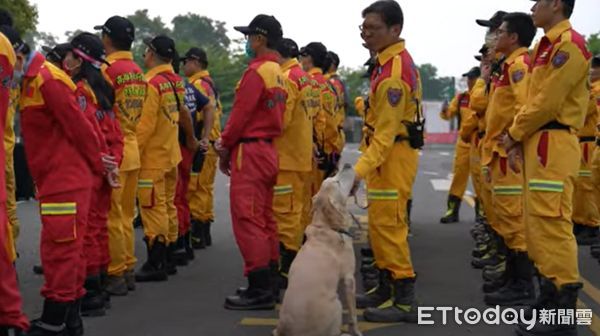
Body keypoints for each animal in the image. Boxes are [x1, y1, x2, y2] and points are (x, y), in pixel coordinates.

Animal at [276, 165, 360, 336]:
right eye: (337, 182)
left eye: (332, 177)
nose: (347, 164)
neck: (327, 226)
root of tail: (285, 331)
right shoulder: (349, 278)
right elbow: (353, 315)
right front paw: (356, 331)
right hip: (337, 304)